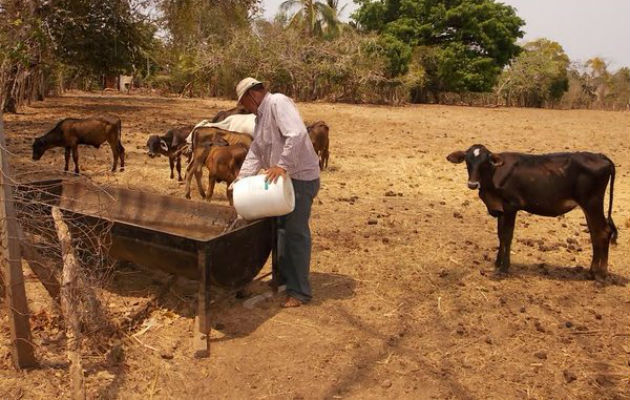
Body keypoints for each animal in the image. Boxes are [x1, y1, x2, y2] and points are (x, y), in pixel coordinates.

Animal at [450, 145, 616, 280]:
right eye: (467, 161)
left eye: (485, 162)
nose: (472, 184)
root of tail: (600, 156)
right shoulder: (500, 210)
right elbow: (500, 235)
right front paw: (497, 264)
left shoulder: (511, 207)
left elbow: (507, 236)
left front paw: (504, 269)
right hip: (589, 207)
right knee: (595, 233)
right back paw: (592, 272)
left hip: (592, 203)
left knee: (603, 232)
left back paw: (601, 274)